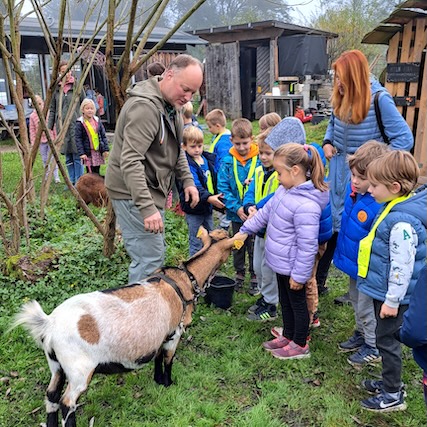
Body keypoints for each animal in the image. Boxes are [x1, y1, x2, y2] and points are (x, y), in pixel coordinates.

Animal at [11, 229, 246, 427]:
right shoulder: (174, 334)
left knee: (51, 395)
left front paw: (158, 380)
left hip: (56, 364)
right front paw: (168, 383)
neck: (185, 280)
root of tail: (49, 324)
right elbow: (168, 360)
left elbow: (157, 357)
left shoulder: (160, 336)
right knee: (67, 403)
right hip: (79, 370)